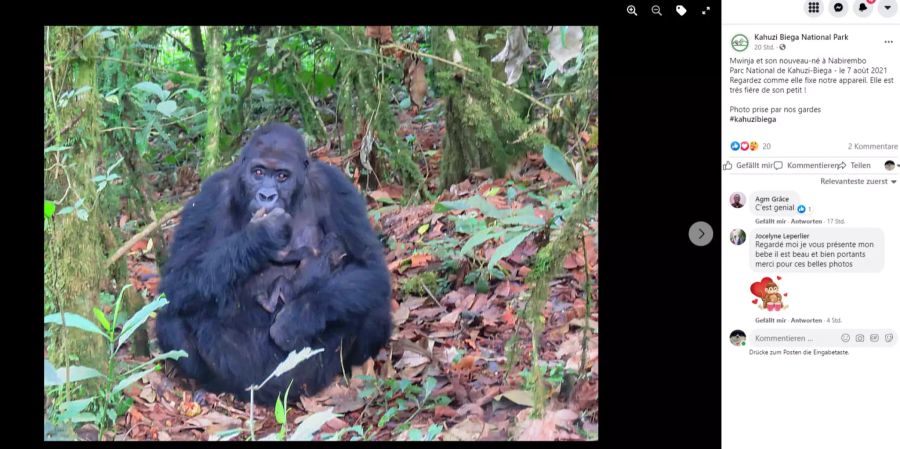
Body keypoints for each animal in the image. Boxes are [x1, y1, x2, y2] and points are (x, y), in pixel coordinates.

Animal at [156, 121, 394, 402]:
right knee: (170, 315)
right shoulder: (209, 195)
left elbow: (370, 267)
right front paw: (262, 234)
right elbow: (176, 281)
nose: (267, 196)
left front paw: (297, 319)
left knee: (370, 301)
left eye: (282, 176)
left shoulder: (335, 186)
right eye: (258, 172)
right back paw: (208, 385)